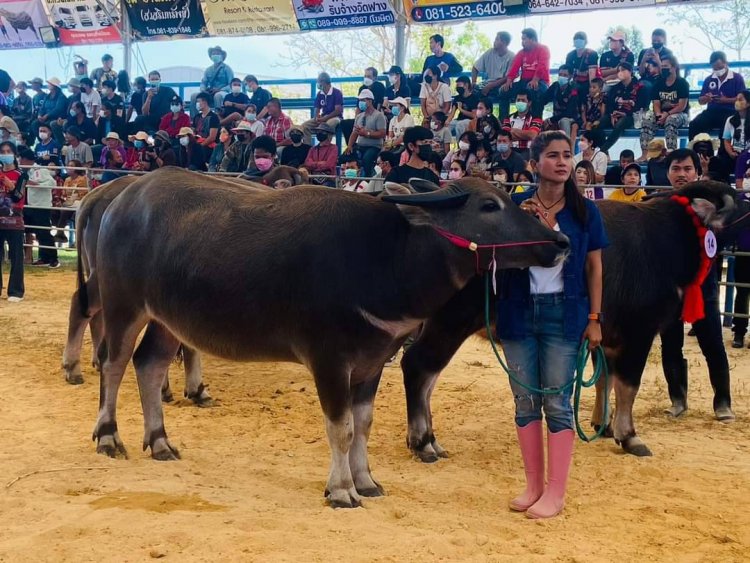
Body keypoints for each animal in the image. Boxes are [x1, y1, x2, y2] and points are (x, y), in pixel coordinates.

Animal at [91, 170, 568, 508]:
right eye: (490, 205)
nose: (560, 240)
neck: (387, 258)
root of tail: (120, 200)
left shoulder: (373, 362)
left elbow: (363, 425)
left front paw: (367, 481)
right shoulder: (329, 361)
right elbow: (340, 428)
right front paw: (341, 490)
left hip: (167, 320)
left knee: (149, 365)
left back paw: (159, 441)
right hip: (122, 304)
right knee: (113, 363)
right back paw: (109, 436)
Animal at [402, 183, 748, 460]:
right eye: (743, 202)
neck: (670, 237)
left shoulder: (604, 336)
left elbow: (604, 378)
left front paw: (603, 426)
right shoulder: (640, 332)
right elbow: (628, 385)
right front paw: (629, 435)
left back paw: (430, 439)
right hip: (449, 323)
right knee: (418, 366)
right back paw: (423, 442)